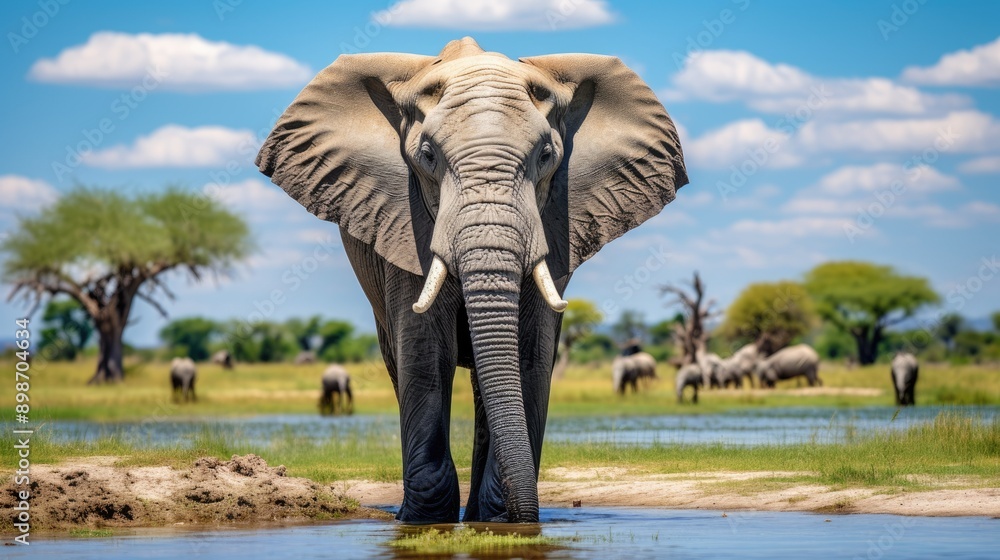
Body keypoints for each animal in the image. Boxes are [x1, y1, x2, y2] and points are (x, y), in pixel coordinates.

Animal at [256, 37, 687, 523]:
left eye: (546, 156)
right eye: (427, 156)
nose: (524, 517)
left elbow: (529, 354)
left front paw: (501, 522)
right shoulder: (403, 220)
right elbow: (427, 353)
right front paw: (425, 521)